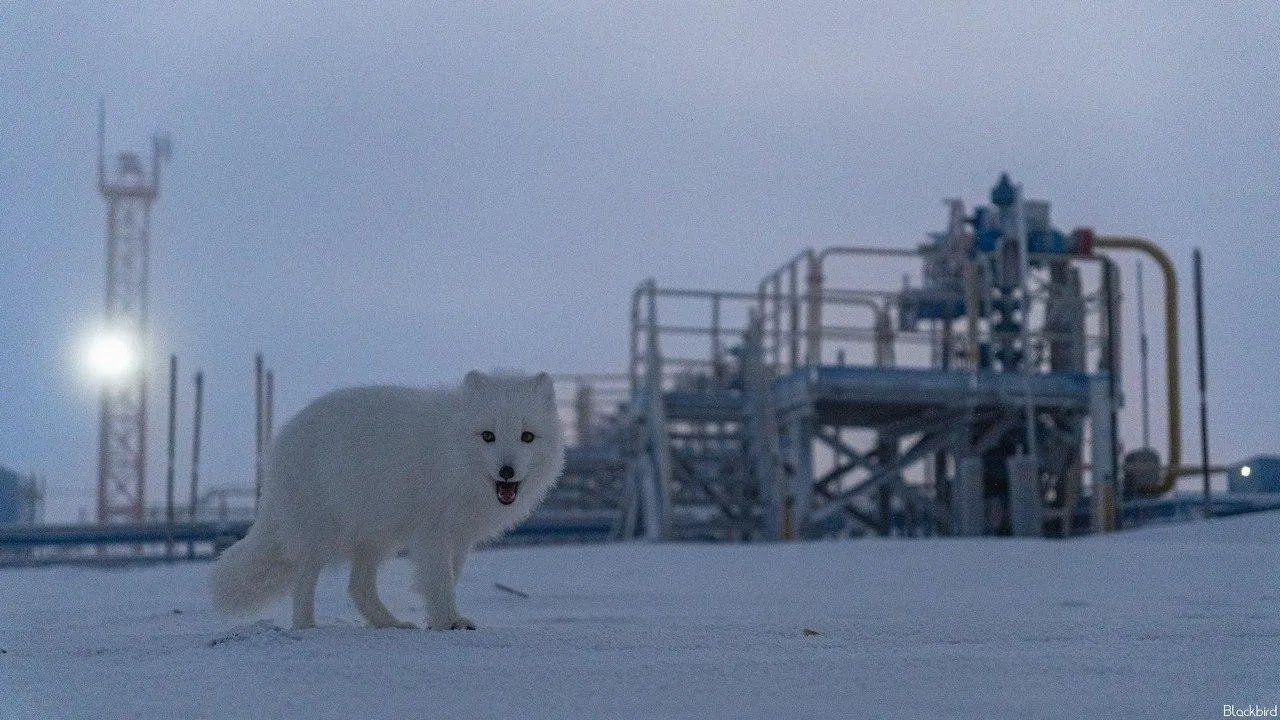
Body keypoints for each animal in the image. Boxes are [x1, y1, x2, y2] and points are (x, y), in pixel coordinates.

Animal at [211, 368, 565, 627]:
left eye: (527, 437)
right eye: (488, 436)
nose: (507, 471)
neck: (455, 458)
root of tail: (278, 445)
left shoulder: (459, 536)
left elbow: (450, 576)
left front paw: (437, 620)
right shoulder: (433, 532)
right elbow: (440, 580)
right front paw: (448, 621)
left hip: (377, 538)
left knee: (358, 588)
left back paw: (391, 625)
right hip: (322, 534)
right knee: (303, 583)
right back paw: (306, 627)